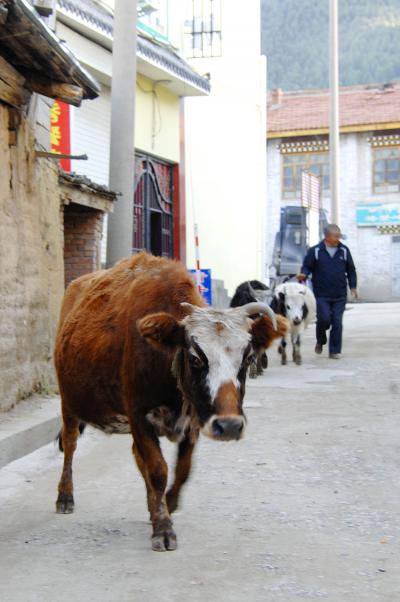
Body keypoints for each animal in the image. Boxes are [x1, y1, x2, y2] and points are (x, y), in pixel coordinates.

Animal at [54, 251, 288, 552]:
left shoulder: (194, 421)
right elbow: (158, 470)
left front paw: (166, 505)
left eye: (247, 358)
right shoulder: (139, 415)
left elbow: (182, 470)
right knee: (70, 444)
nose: (229, 426)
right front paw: (163, 529)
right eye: (196, 357)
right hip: (69, 404)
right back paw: (65, 497)